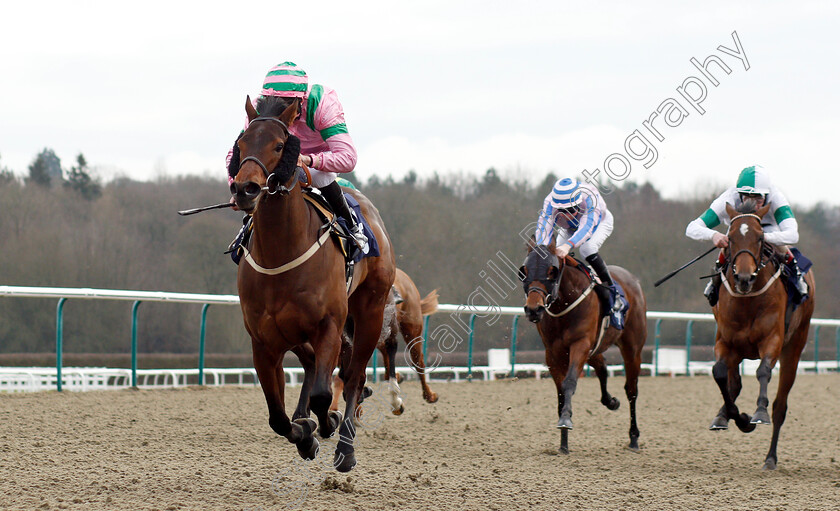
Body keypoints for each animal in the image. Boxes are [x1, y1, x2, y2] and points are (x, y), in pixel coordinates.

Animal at [231, 95, 398, 472]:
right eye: (241, 144)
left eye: (280, 146)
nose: (245, 188)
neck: (280, 254)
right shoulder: (263, 341)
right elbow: (277, 417)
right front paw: (304, 434)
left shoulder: (330, 326)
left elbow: (325, 395)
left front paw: (327, 424)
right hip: (296, 332)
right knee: (314, 367)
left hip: (370, 312)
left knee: (354, 378)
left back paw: (345, 446)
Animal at [520, 241, 648, 456]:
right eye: (524, 271)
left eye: (552, 271)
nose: (533, 309)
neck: (564, 303)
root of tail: (634, 281)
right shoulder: (552, 353)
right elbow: (561, 392)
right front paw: (563, 443)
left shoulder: (580, 344)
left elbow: (570, 382)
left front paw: (565, 420)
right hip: (594, 349)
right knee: (603, 368)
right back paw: (610, 401)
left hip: (632, 349)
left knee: (631, 390)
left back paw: (634, 438)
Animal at [708, 201, 812, 472]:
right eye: (731, 238)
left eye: (760, 237)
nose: (744, 278)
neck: (747, 301)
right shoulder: (725, 342)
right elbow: (720, 374)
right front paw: (735, 417)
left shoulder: (772, 341)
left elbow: (763, 372)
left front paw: (757, 414)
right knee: (734, 383)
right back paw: (724, 415)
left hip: (794, 347)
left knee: (780, 406)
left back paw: (770, 458)